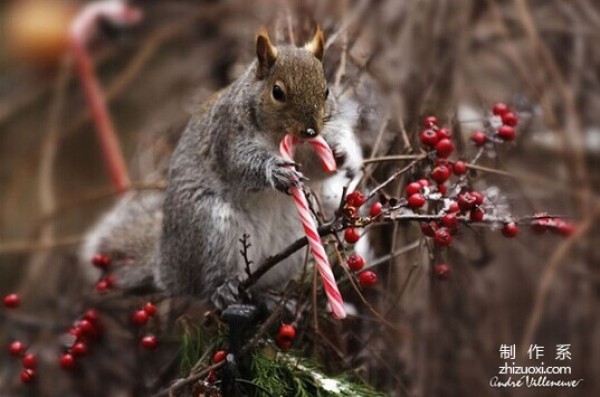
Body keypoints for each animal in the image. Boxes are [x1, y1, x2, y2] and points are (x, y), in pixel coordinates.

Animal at [80, 27, 366, 306]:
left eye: (326, 91)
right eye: (277, 92)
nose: (311, 130)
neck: (279, 137)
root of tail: (167, 268)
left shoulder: (306, 152)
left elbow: (317, 169)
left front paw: (342, 154)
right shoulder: (227, 136)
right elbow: (241, 165)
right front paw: (277, 172)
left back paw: (272, 298)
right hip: (207, 228)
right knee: (205, 285)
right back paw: (223, 290)